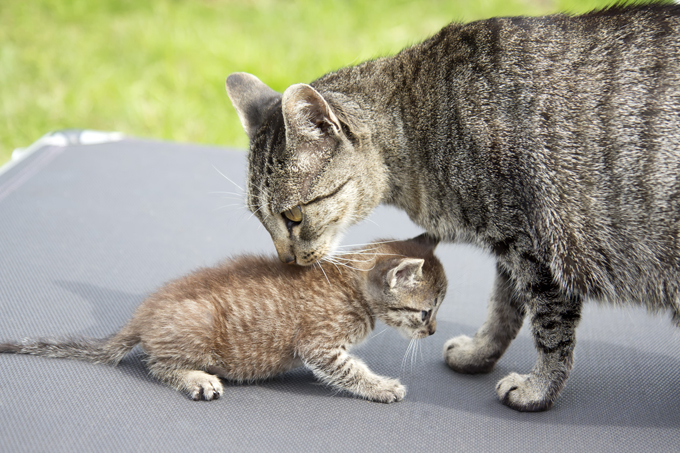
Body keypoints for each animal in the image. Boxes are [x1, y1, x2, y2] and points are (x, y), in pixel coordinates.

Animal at [0, 235, 446, 400]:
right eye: (425, 312)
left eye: (437, 311)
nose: (434, 330)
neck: (349, 284)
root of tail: (142, 314)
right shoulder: (320, 346)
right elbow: (350, 370)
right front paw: (382, 386)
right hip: (197, 328)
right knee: (156, 363)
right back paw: (197, 379)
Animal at [226, 4, 680, 414]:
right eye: (261, 220)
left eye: (294, 217)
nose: (285, 261)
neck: (418, 127)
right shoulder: (511, 248)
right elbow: (503, 309)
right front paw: (480, 353)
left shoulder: (537, 248)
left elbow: (550, 329)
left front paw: (538, 389)